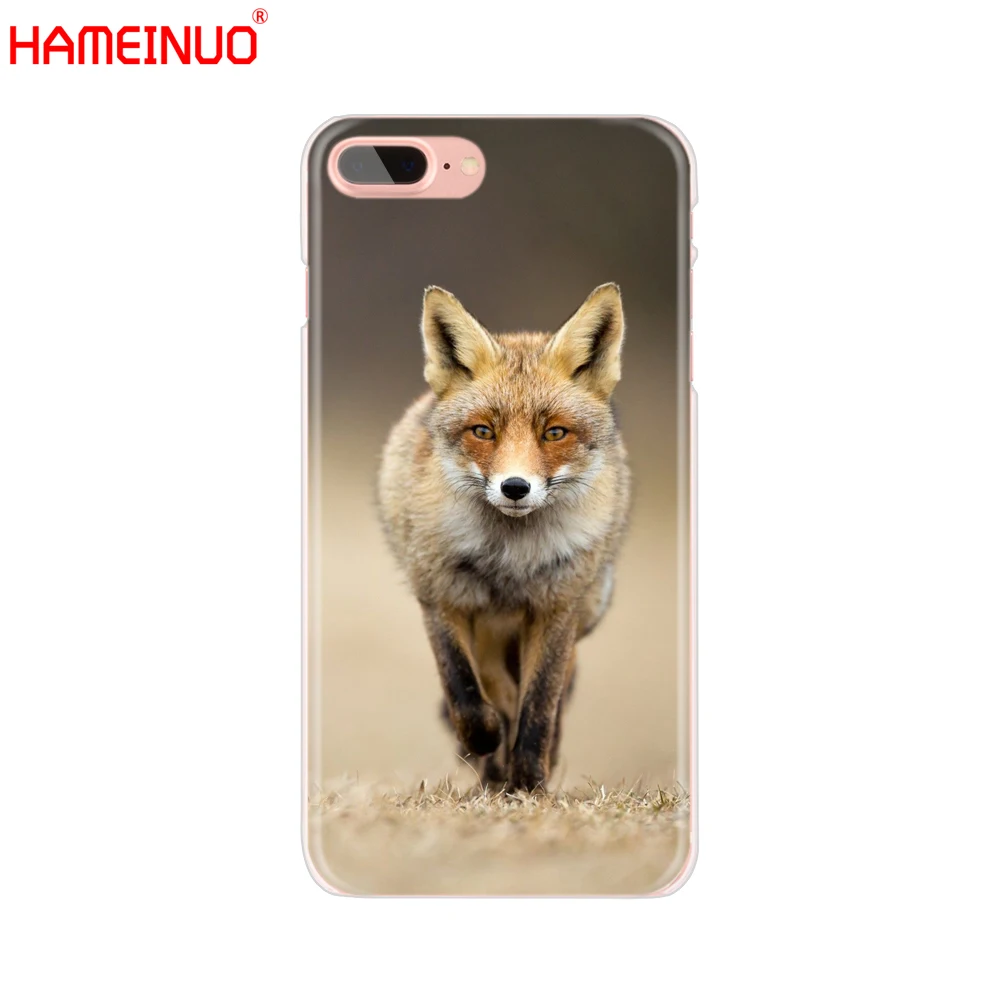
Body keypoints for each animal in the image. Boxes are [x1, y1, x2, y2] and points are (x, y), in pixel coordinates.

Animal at [377, 283, 631, 792]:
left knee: (553, 691)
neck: (509, 557)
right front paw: (487, 743)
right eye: (483, 431)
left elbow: (540, 706)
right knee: (496, 687)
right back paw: (492, 766)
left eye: (554, 433)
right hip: (489, 627)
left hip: (582, 610)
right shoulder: (441, 599)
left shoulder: (556, 609)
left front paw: (531, 782)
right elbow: (464, 693)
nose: (515, 487)